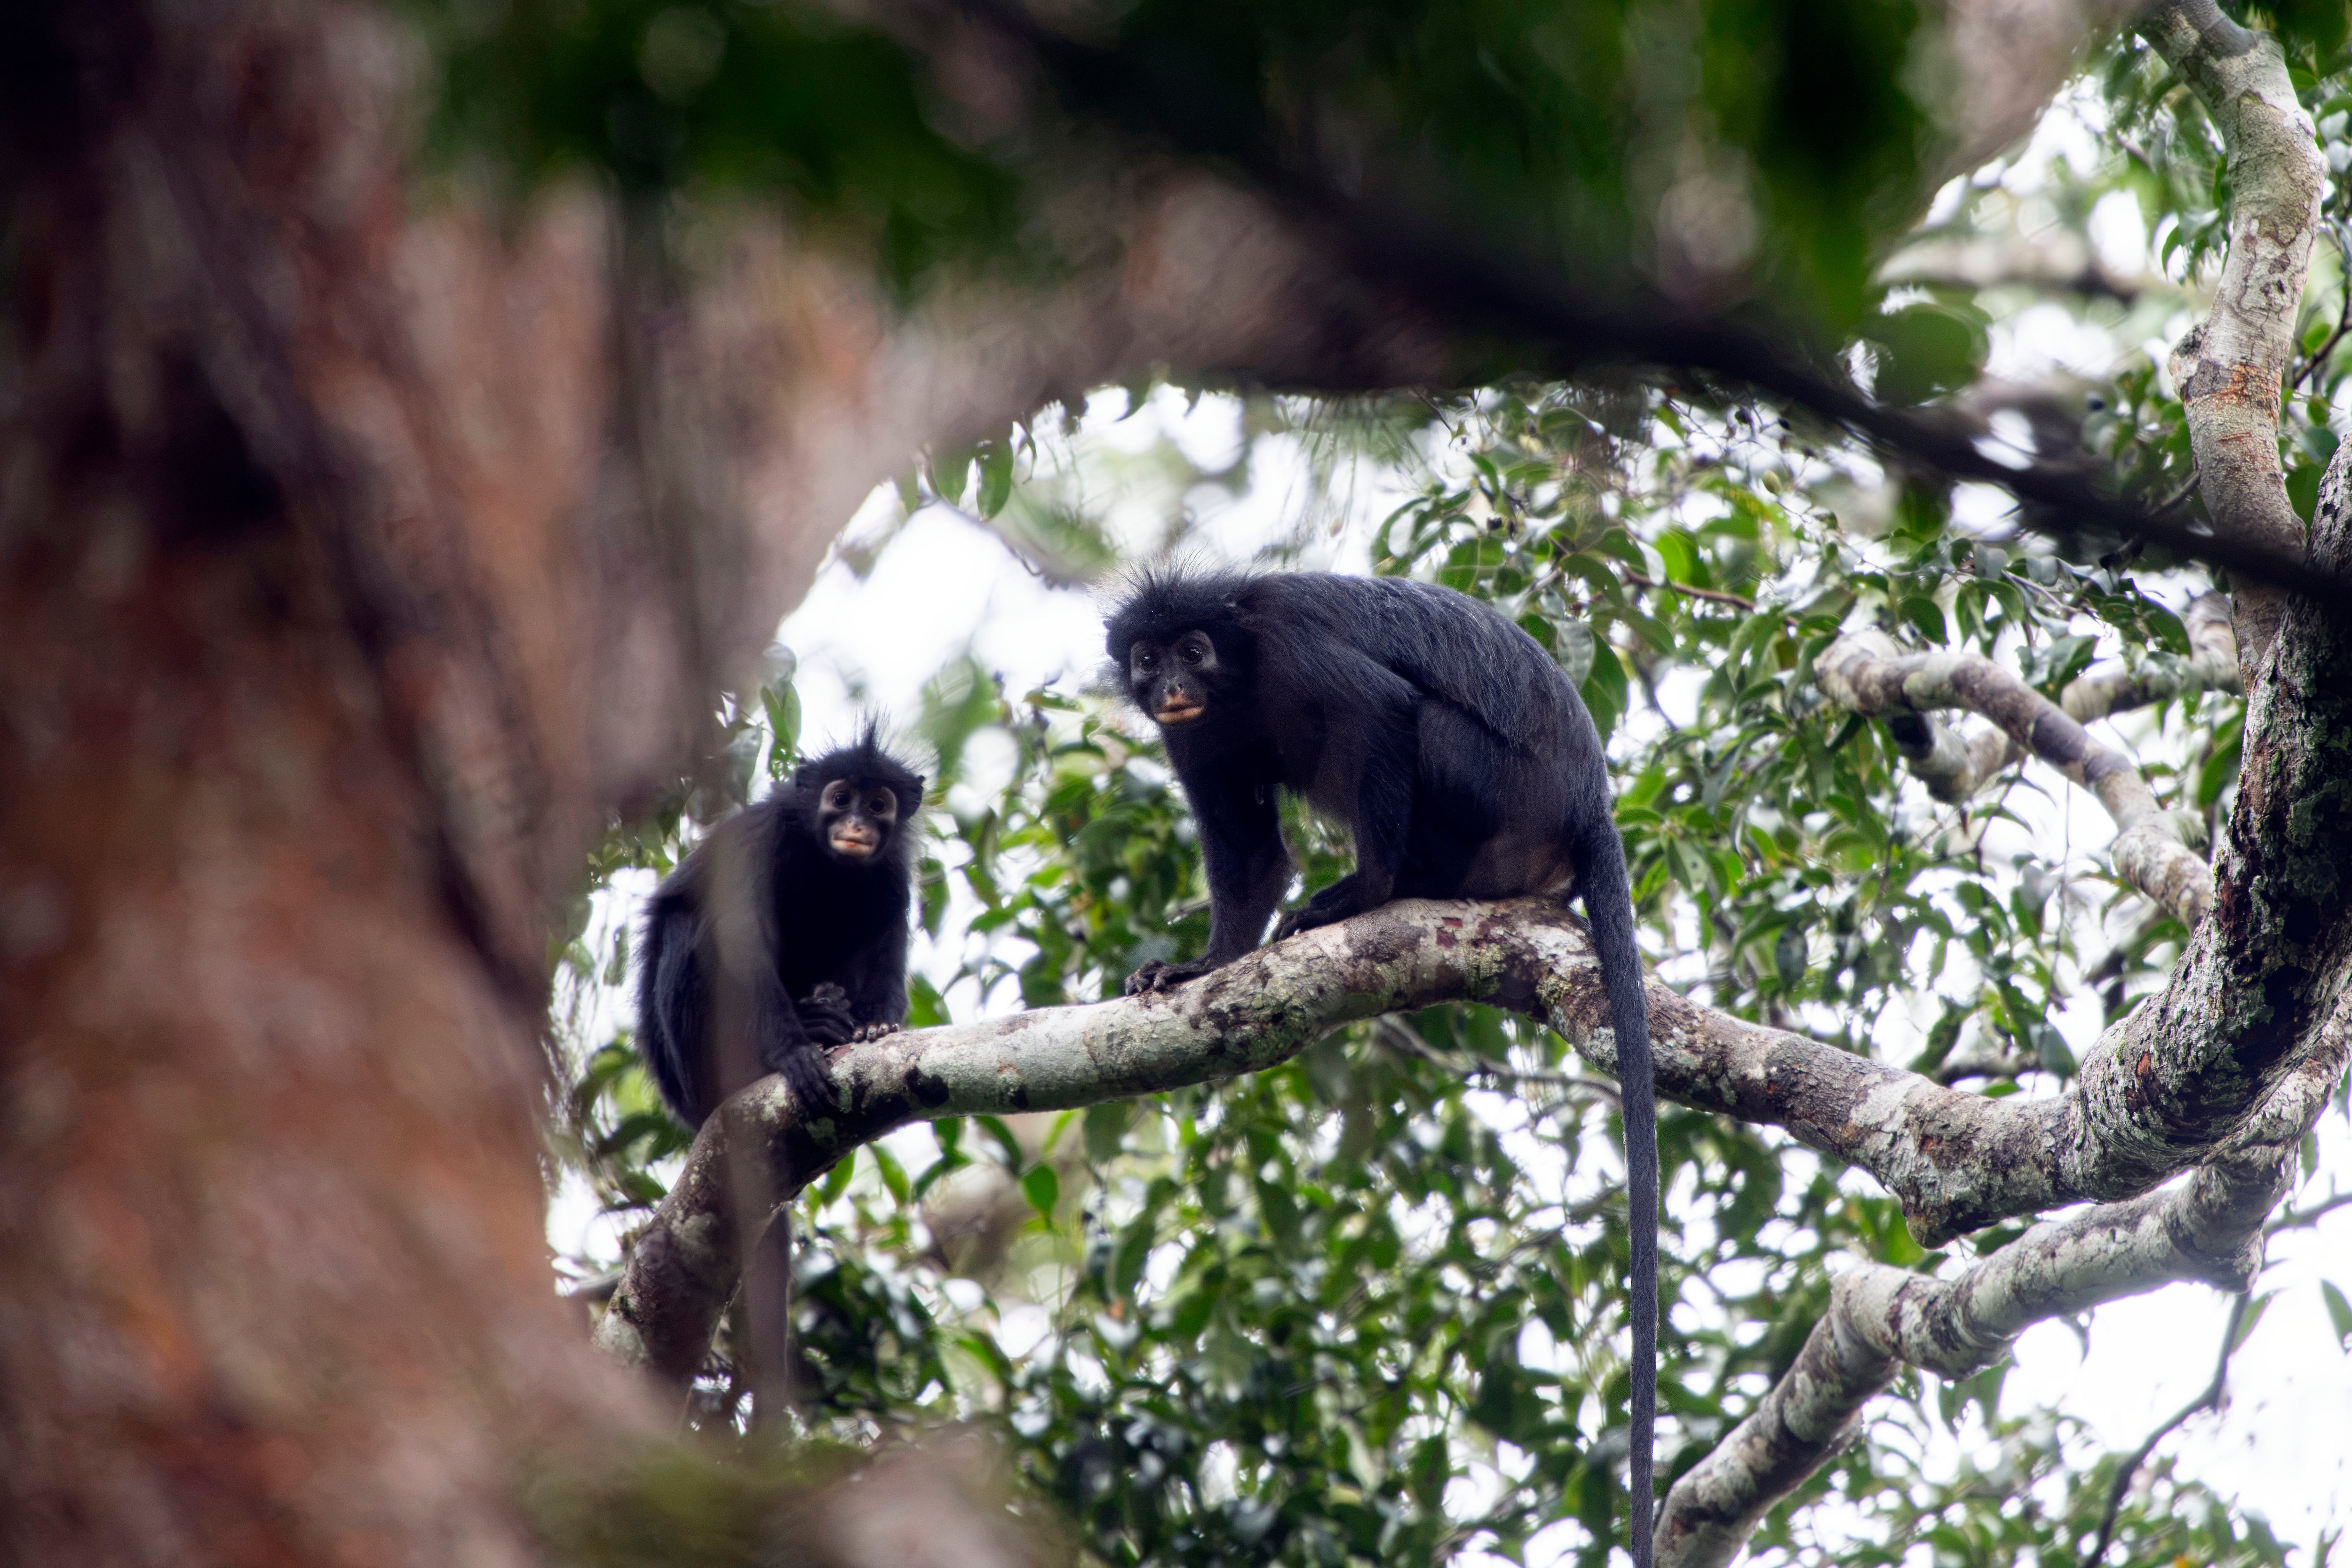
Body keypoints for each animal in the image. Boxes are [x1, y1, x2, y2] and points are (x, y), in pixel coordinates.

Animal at [636, 730, 925, 1127]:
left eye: (877, 806)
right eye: (840, 799)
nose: (856, 825)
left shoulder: (893, 872)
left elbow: (888, 943)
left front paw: (878, 1023)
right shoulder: (760, 838)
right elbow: (740, 938)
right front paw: (793, 1051)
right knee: (684, 925)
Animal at [1106, 567, 1659, 1566]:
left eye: (1194, 649)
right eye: (1147, 657)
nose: (1170, 681)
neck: (1237, 678)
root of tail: (1588, 797)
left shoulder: (1289, 649)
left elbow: (1382, 710)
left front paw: (1362, 892)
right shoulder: (1194, 736)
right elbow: (1250, 853)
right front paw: (1202, 966)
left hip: (1495, 788)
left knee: (1417, 722)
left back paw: (1395, 887)